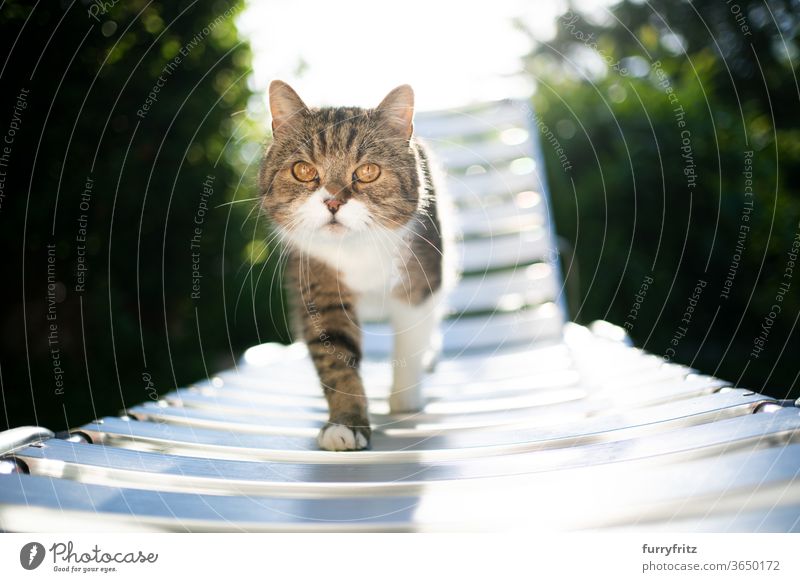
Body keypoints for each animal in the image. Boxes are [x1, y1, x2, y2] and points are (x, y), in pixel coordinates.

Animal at [260, 82, 444, 454]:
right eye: (303, 170)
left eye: (368, 171)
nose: (332, 201)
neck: (357, 251)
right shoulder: (318, 289)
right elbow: (336, 358)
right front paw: (345, 424)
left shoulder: (419, 284)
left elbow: (409, 344)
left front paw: (404, 399)